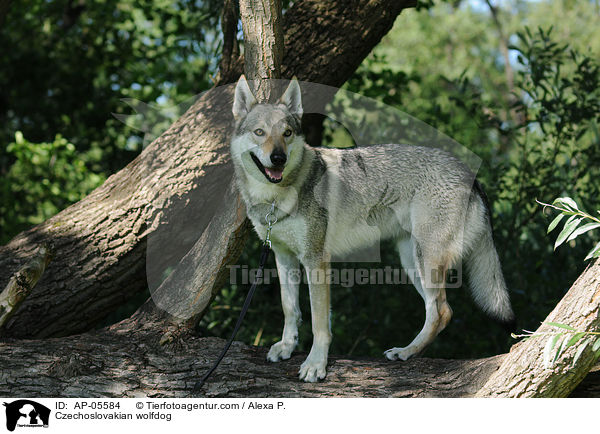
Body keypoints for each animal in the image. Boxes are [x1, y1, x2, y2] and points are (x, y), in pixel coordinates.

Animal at [231, 76, 516, 382]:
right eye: (260, 132)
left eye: (286, 133)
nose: (278, 158)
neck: (275, 198)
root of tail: (469, 174)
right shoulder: (284, 257)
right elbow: (290, 309)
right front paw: (286, 347)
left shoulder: (316, 260)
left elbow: (319, 323)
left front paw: (315, 364)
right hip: (411, 261)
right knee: (438, 311)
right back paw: (407, 351)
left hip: (425, 261)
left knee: (442, 311)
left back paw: (406, 352)